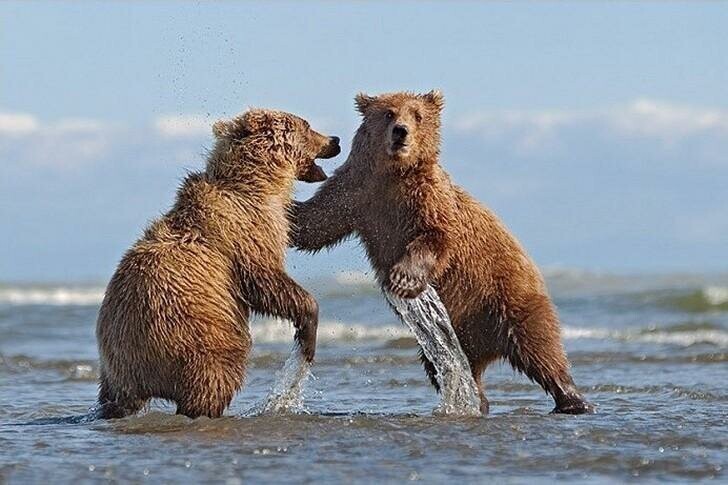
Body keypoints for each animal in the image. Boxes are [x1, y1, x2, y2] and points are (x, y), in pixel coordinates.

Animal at [96, 108, 342, 418]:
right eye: (307, 126)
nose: (335, 140)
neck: (257, 182)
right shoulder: (245, 230)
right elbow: (265, 281)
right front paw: (306, 334)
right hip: (196, 337)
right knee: (214, 379)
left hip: (115, 370)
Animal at [292, 91, 596, 412]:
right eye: (388, 113)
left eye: (417, 115)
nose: (401, 132)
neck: (394, 173)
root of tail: (488, 347)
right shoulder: (356, 193)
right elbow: (315, 223)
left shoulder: (428, 199)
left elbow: (437, 236)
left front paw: (403, 279)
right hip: (454, 335)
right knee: (448, 368)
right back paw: (477, 400)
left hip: (507, 298)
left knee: (541, 349)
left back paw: (572, 399)